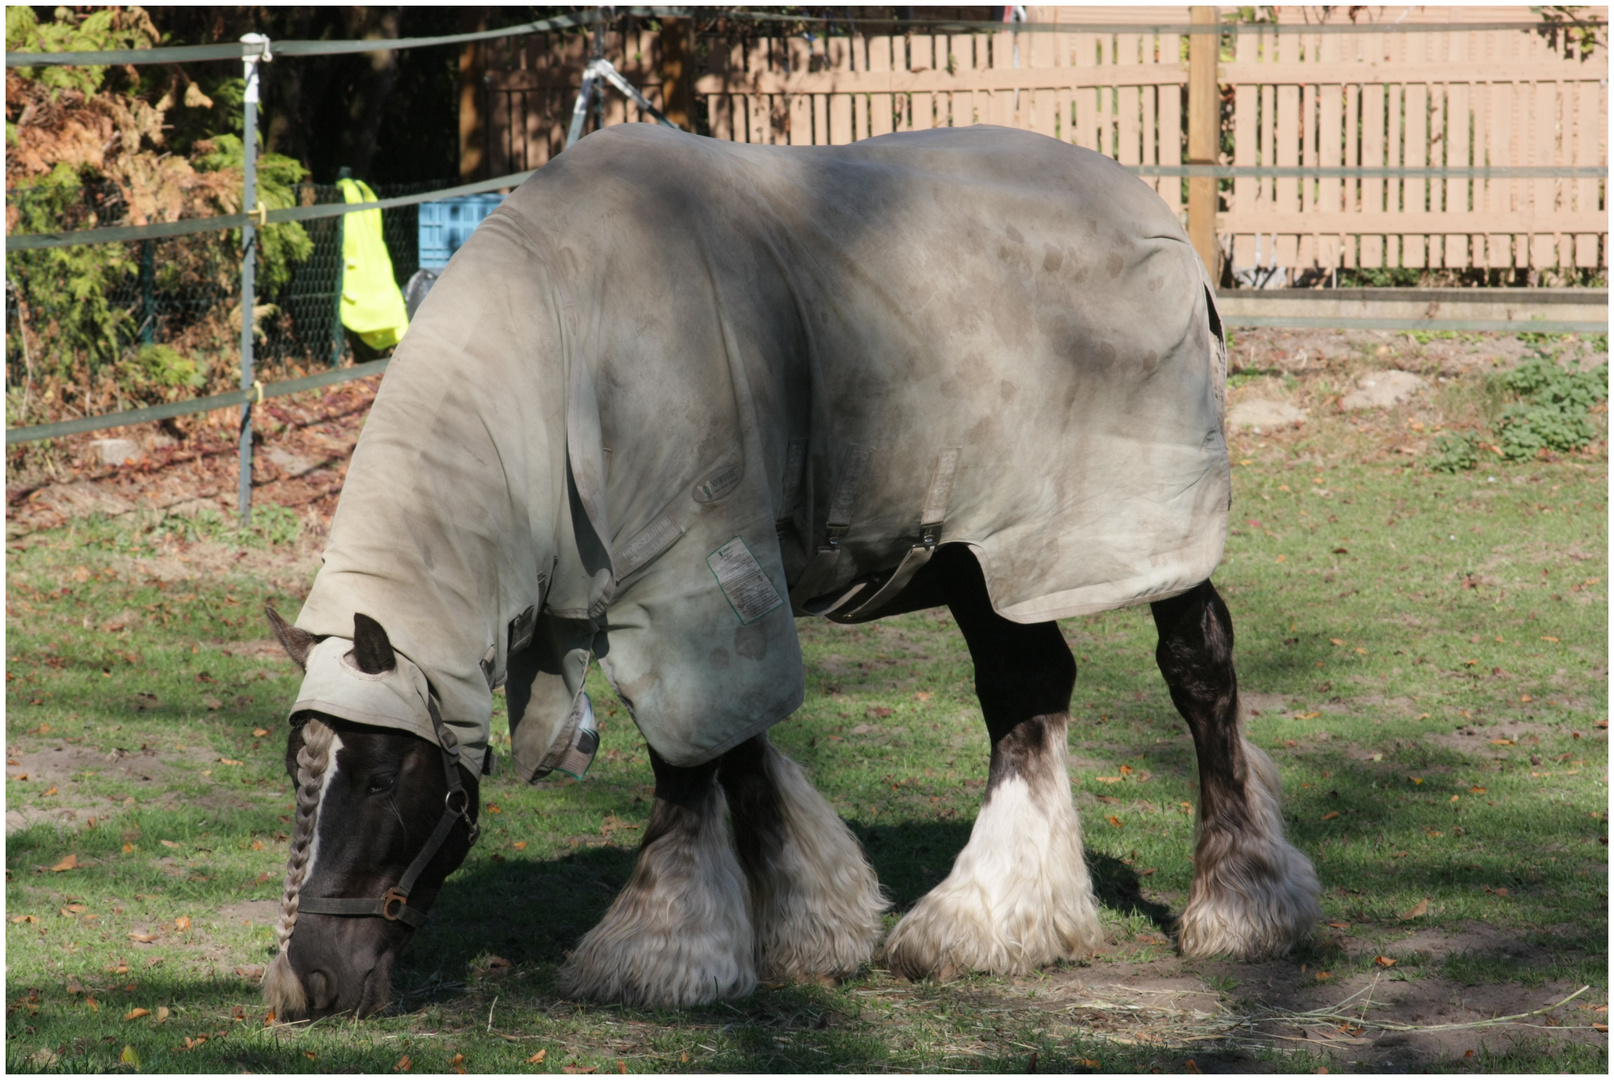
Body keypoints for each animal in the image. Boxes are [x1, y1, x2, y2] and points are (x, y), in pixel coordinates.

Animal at [264, 126, 1317, 1020]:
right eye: (295, 771)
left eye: (380, 780)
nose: (307, 983)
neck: (569, 345)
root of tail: (1164, 226)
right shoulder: (696, 591)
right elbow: (733, 748)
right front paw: (809, 927)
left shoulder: (694, 574)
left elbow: (695, 756)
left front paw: (665, 948)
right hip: (985, 557)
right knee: (1027, 688)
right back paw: (992, 920)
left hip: (1145, 535)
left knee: (1198, 671)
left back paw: (1241, 905)